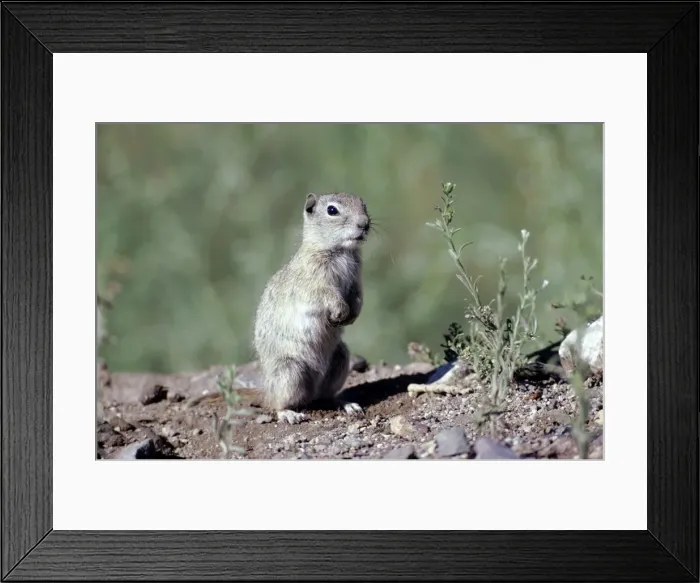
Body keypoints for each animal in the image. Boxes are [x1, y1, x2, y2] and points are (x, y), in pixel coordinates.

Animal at [252, 192, 371, 424]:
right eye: (332, 210)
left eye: (363, 205)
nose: (365, 223)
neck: (340, 251)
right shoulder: (314, 283)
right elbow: (327, 295)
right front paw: (340, 311)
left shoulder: (356, 282)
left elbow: (358, 298)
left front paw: (352, 316)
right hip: (290, 372)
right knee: (279, 403)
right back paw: (289, 414)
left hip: (340, 359)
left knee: (324, 396)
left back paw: (346, 404)